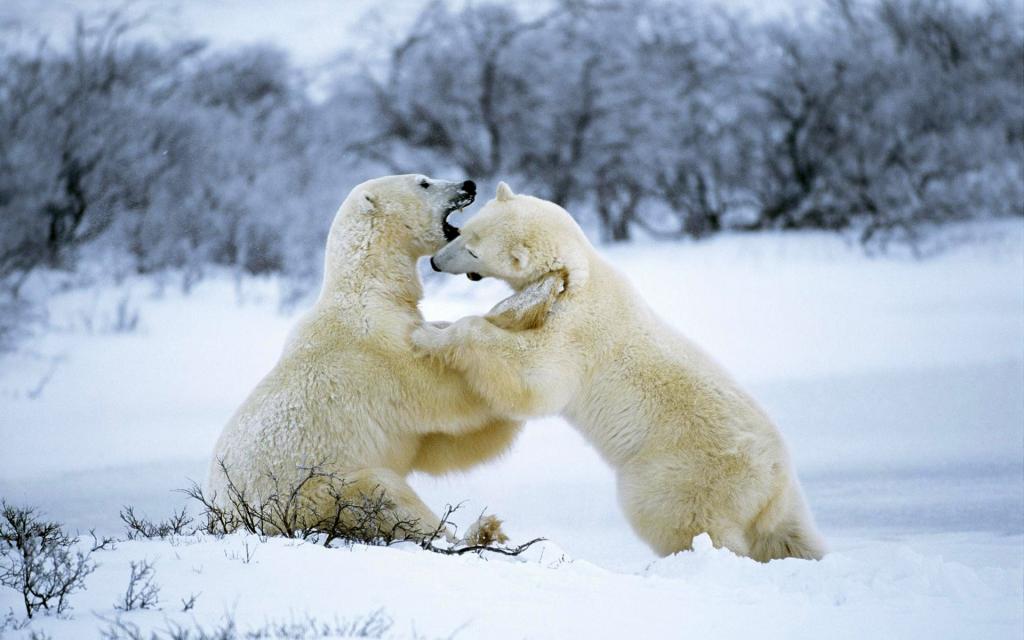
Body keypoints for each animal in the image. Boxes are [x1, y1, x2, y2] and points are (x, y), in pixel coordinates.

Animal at [207, 175, 521, 541]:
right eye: (424, 182)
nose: (468, 184)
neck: (369, 289)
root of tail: (224, 518)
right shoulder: (379, 351)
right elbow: (444, 395)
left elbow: (438, 446)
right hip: (311, 494)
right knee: (381, 494)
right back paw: (475, 531)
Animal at [412, 182, 825, 561]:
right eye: (465, 231)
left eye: (473, 250)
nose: (435, 262)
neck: (580, 274)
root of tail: (775, 481)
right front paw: (436, 325)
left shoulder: (577, 333)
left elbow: (534, 376)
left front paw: (430, 336)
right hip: (775, 501)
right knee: (789, 535)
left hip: (684, 473)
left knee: (680, 518)